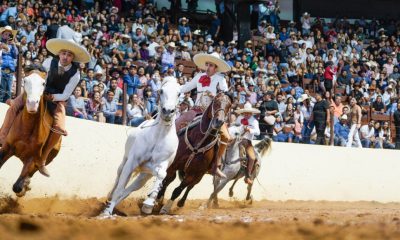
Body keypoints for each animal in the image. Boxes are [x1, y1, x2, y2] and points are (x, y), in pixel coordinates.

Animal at [0, 69, 61, 197]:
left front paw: (23, 187)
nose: (32, 103)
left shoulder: (32, 158)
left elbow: (17, 186)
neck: (27, 130)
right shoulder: (7, 147)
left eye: (43, 83)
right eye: (25, 80)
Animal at [100, 76, 181, 216]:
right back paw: (109, 200)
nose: (168, 112)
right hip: (125, 162)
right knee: (118, 181)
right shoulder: (132, 162)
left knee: (129, 190)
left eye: (179, 93)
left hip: (144, 176)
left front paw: (148, 204)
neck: (158, 137)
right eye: (161, 91)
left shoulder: (160, 164)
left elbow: (161, 175)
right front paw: (106, 212)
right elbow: (120, 187)